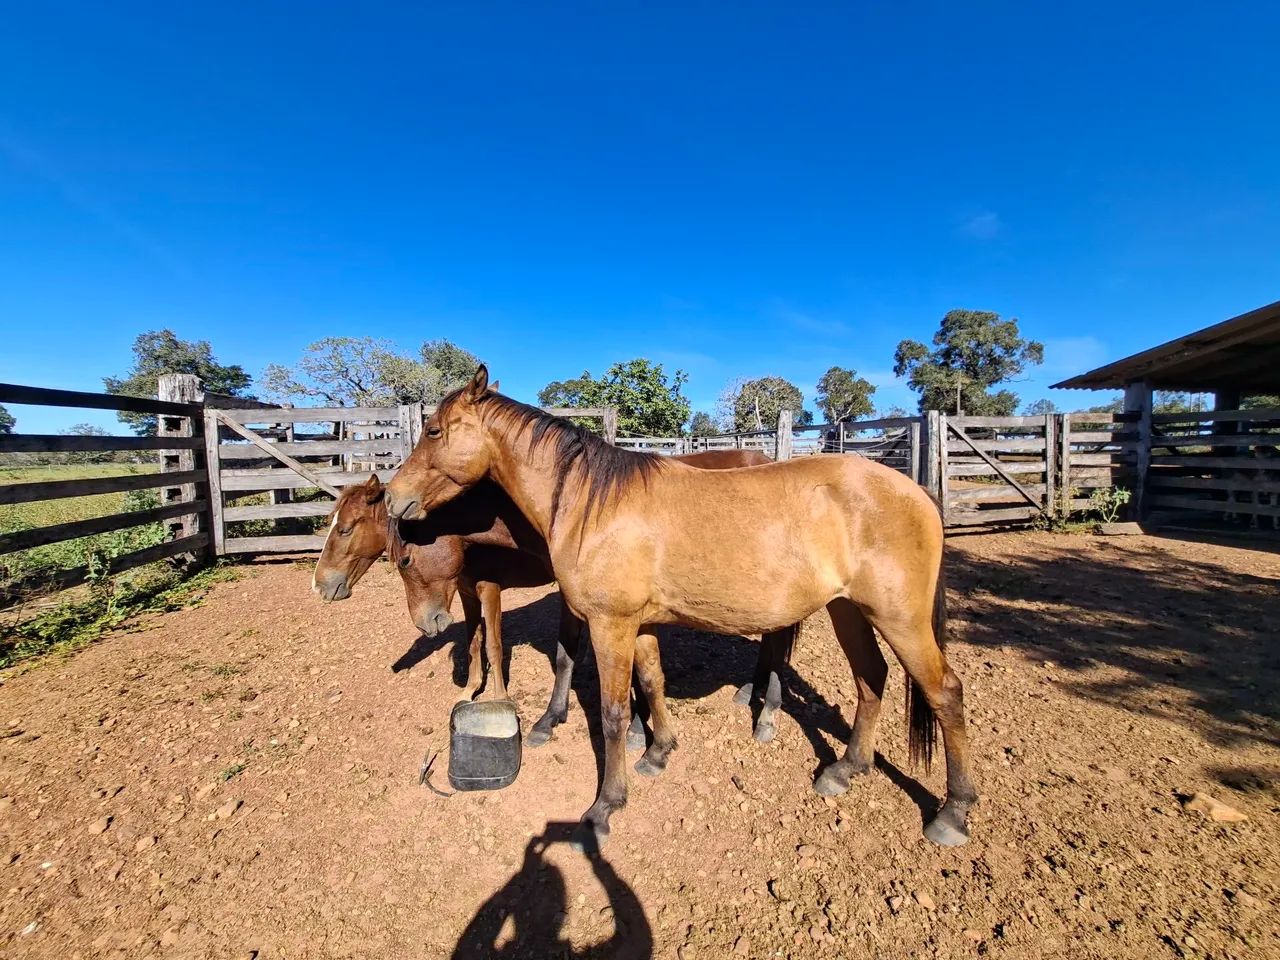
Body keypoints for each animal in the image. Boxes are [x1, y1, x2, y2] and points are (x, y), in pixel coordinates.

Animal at [314, 453, 798, 746]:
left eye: (346, 528)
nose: (322, 585)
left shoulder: (500, 589)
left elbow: (514, 647)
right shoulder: (470, 588)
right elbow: (476, 641)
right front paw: (473, 692)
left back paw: (766, 713)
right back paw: (750, 693)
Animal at [385, 367, 977, 849]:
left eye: (434, 431)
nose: (393, 497)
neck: (592, 502)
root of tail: (917, 493)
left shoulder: (610, 624)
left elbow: (612, 712)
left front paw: (605, 807)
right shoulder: (640, 624)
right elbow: (652, 683)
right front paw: (658, 752)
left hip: (899, 619)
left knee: (944, 692)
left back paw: (952, 812)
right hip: (848, 611)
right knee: (870, 679)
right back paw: (845, 770)